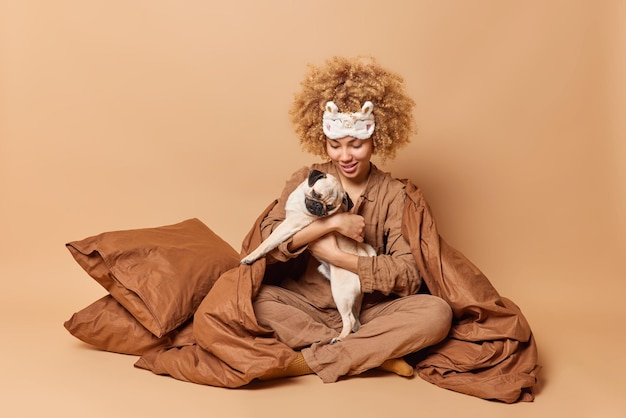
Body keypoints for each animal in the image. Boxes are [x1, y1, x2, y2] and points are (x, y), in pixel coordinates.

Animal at [241, 169, 372, 342]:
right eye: (316, 194)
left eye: (330, 207)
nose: (318, 206)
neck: (301, 203)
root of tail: (361, 256)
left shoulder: (290, 224)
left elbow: (269, 241)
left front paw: (251, 256)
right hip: (350, 295)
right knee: (356, 317)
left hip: (340, 293)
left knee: (349, 319)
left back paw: (339, 338)